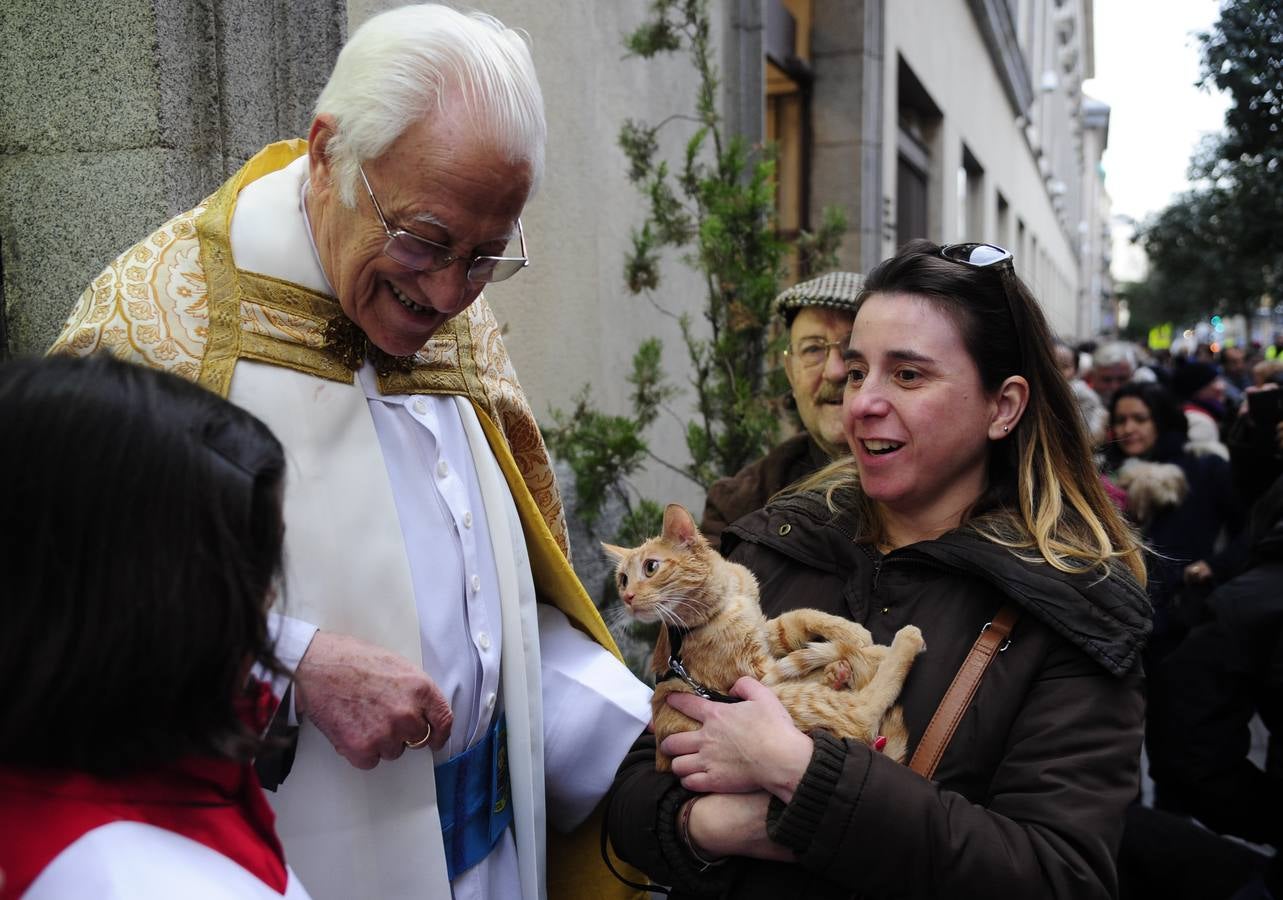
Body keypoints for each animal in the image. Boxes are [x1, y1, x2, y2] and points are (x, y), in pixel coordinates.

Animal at [605, 503, 928, 770]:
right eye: (623, 579)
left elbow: (800, 617)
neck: (728, 599)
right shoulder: (758, 674)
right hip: (790, 701)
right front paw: (866, 651)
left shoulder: (765, 630)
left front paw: (851, 631)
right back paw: (901, 643)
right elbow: (830, 653)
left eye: (650, 567)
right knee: (865, 708)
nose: (628, 598)